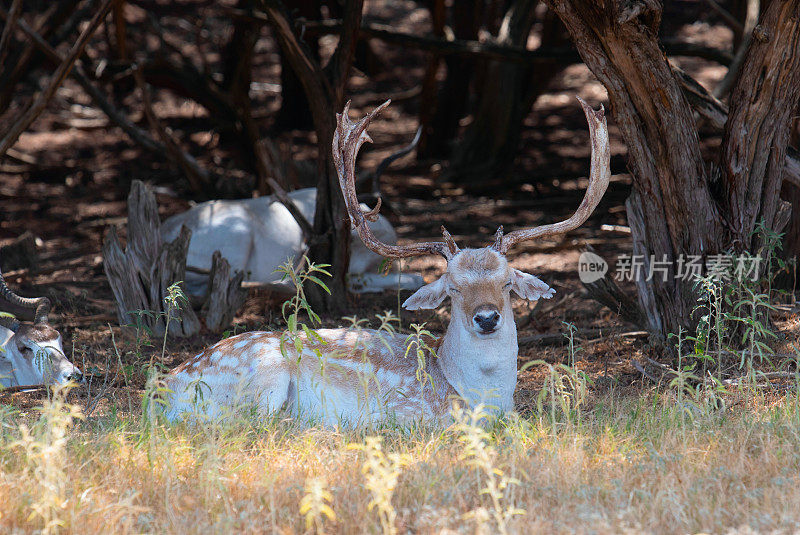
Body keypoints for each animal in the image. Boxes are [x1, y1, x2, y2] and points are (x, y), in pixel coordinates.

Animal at [164, 97, 612, 428]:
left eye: (506, 283)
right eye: (452, 289)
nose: (486, 318)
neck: (477, 399)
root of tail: (162, 394)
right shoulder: (405, 413)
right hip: (261, 376)